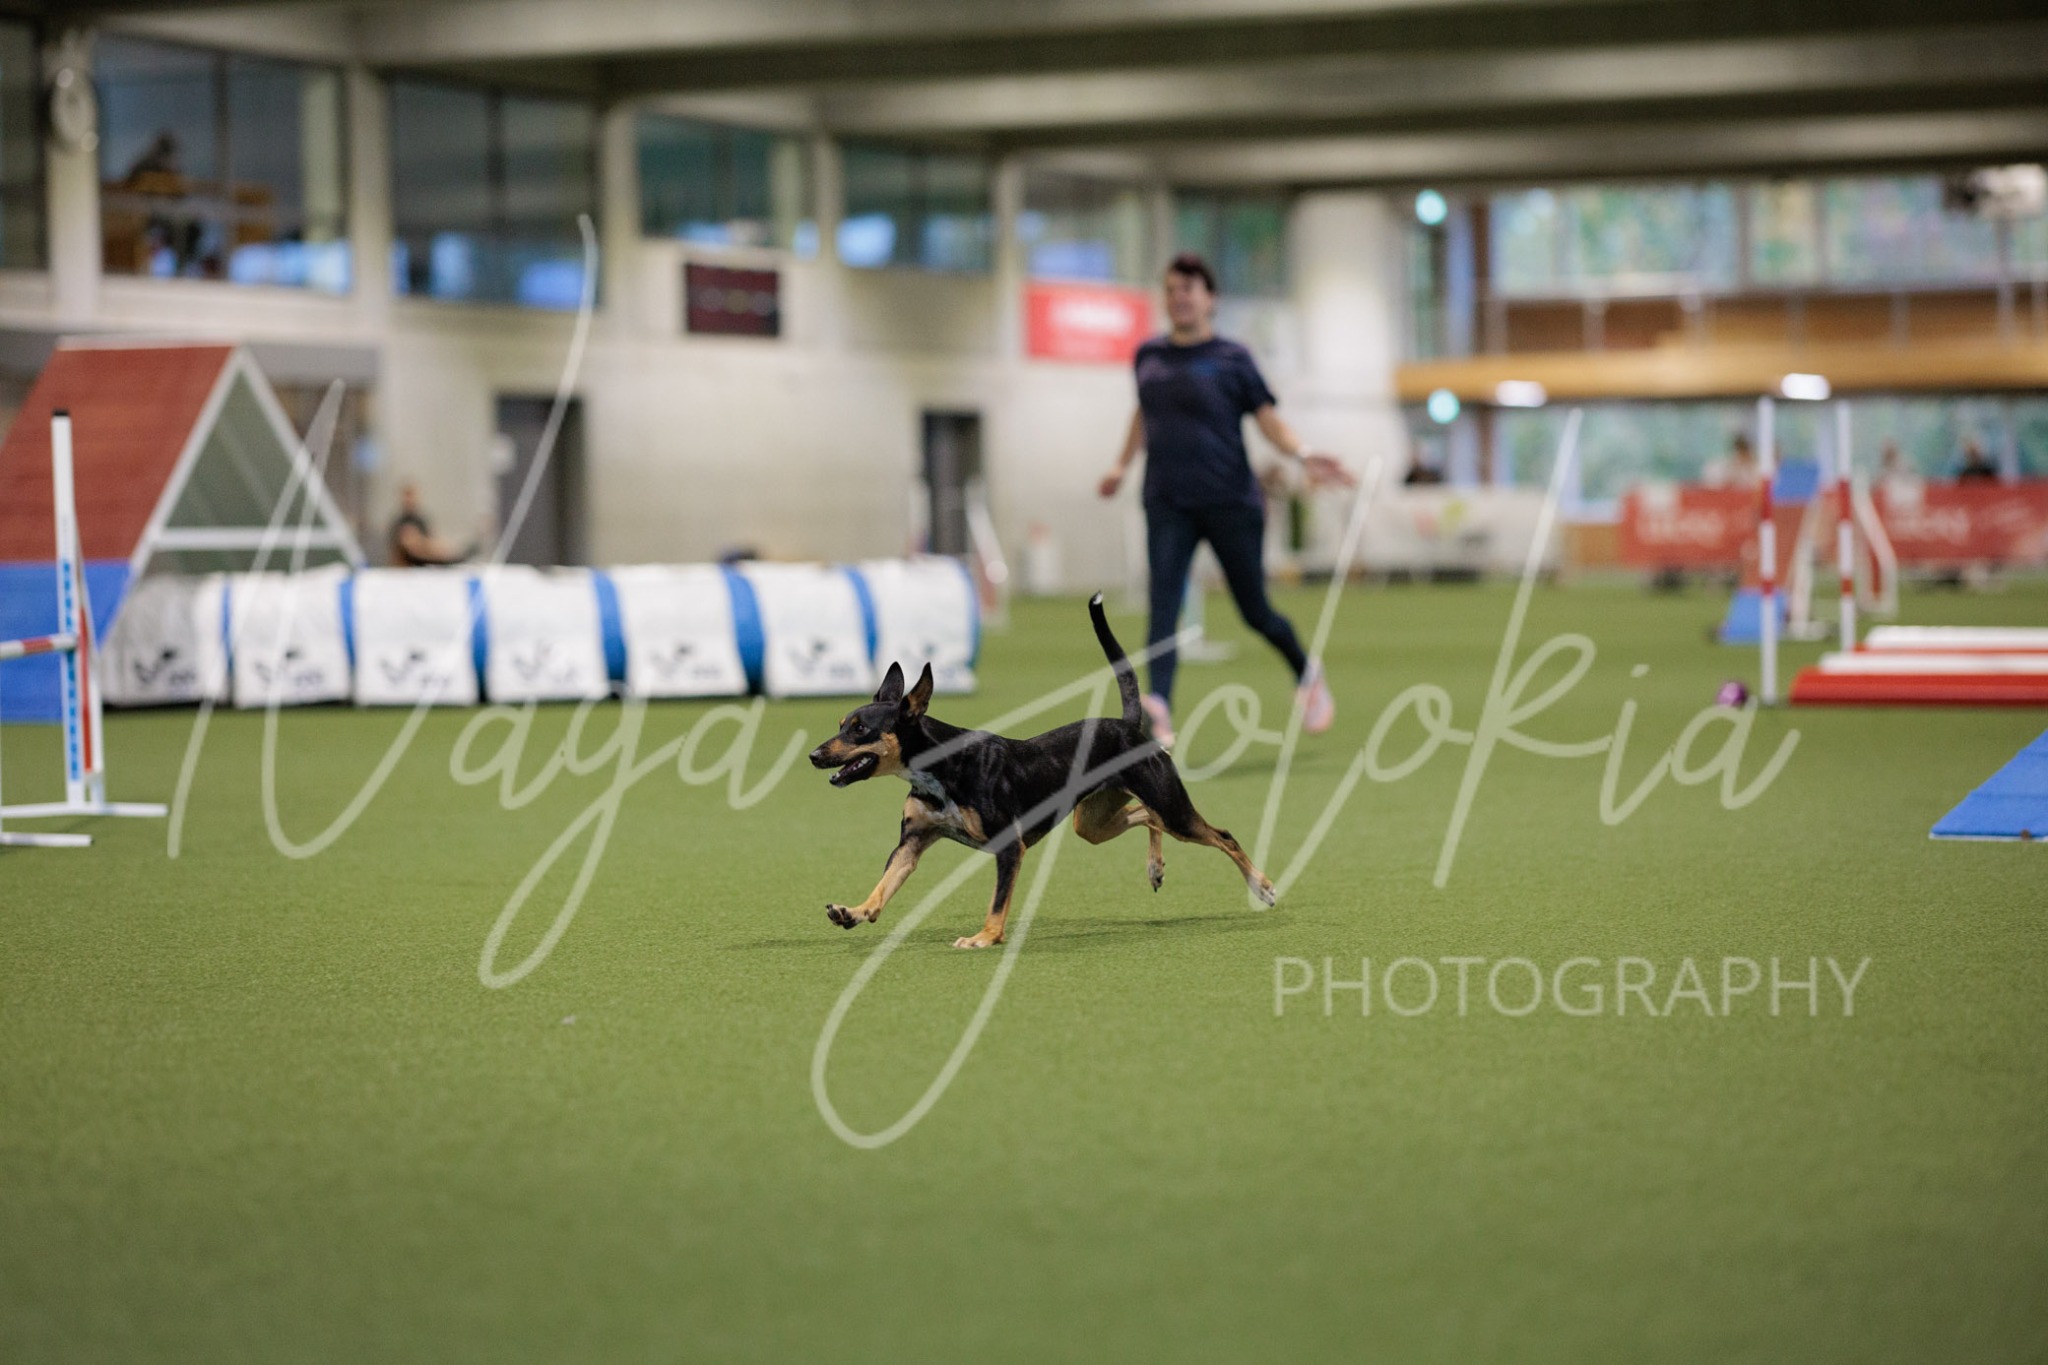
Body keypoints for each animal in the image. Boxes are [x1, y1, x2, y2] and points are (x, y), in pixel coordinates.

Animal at [807, 594, 1276, 949]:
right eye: (841, 724)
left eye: (860, 729)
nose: (813, 755)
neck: (943, 768)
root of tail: (1129, 725)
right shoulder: (913, 842)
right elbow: (884, 886)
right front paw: (852, 912)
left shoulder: (1008, 847)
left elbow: (998, 901)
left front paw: (984, 938)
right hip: (1092, 823)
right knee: (1148, 815)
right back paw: (1155, 868)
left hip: (1170, 805)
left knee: (1221, 835)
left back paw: (1263, 887)